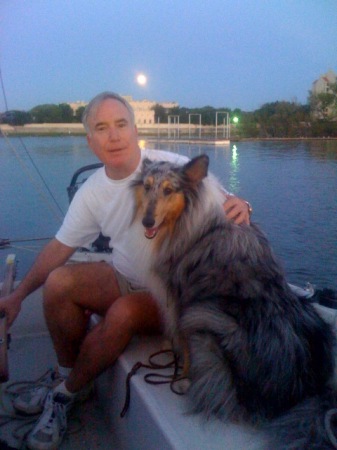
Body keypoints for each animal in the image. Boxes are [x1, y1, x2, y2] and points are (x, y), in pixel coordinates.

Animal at [131, 154, 336, 446]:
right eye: (147, 186)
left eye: (169, 190)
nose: (146, 222)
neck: (189, 220)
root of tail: (302, 393)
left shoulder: (181, 297)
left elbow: (183, 342)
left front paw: (182, 377)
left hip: (205, 315)